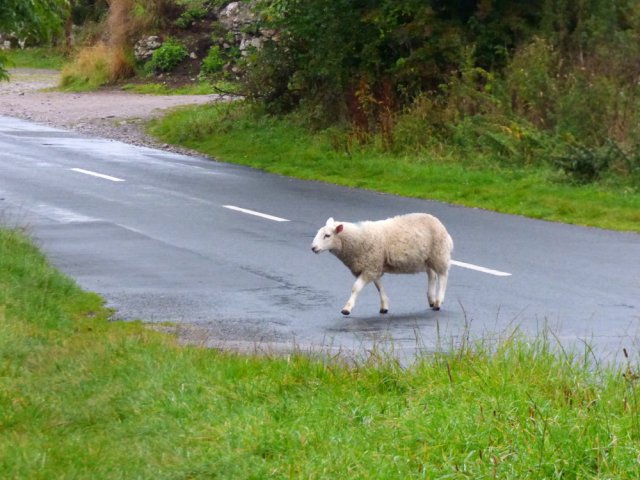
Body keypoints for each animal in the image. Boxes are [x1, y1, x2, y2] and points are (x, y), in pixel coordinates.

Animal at [311, 213, 453, 316]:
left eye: (327, 235)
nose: (313, 248)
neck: (357, 240)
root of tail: (437, 221)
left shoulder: (371, 266)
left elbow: (356, 287)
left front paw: (347, 308)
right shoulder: (373, 266)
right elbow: (379, 286)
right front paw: (384, 306)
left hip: (439, 253)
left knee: (443, 276)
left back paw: (438, 301)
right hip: (427, 258)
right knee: (432, 275)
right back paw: (431, 299)